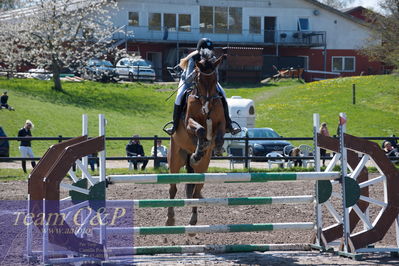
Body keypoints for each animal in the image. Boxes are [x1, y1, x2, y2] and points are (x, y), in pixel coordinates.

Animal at [167, 50, 227, 229]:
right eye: (199, 79)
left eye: (215, 80)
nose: (206, 107)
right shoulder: (188, 123)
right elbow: (200, 130)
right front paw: (198, 150)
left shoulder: (221, 123)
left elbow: (218, 135)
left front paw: (216, 148)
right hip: (175, 160)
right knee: (172, 189)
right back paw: (170, 220)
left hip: (203, 169)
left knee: (196, 191)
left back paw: (193, 221)